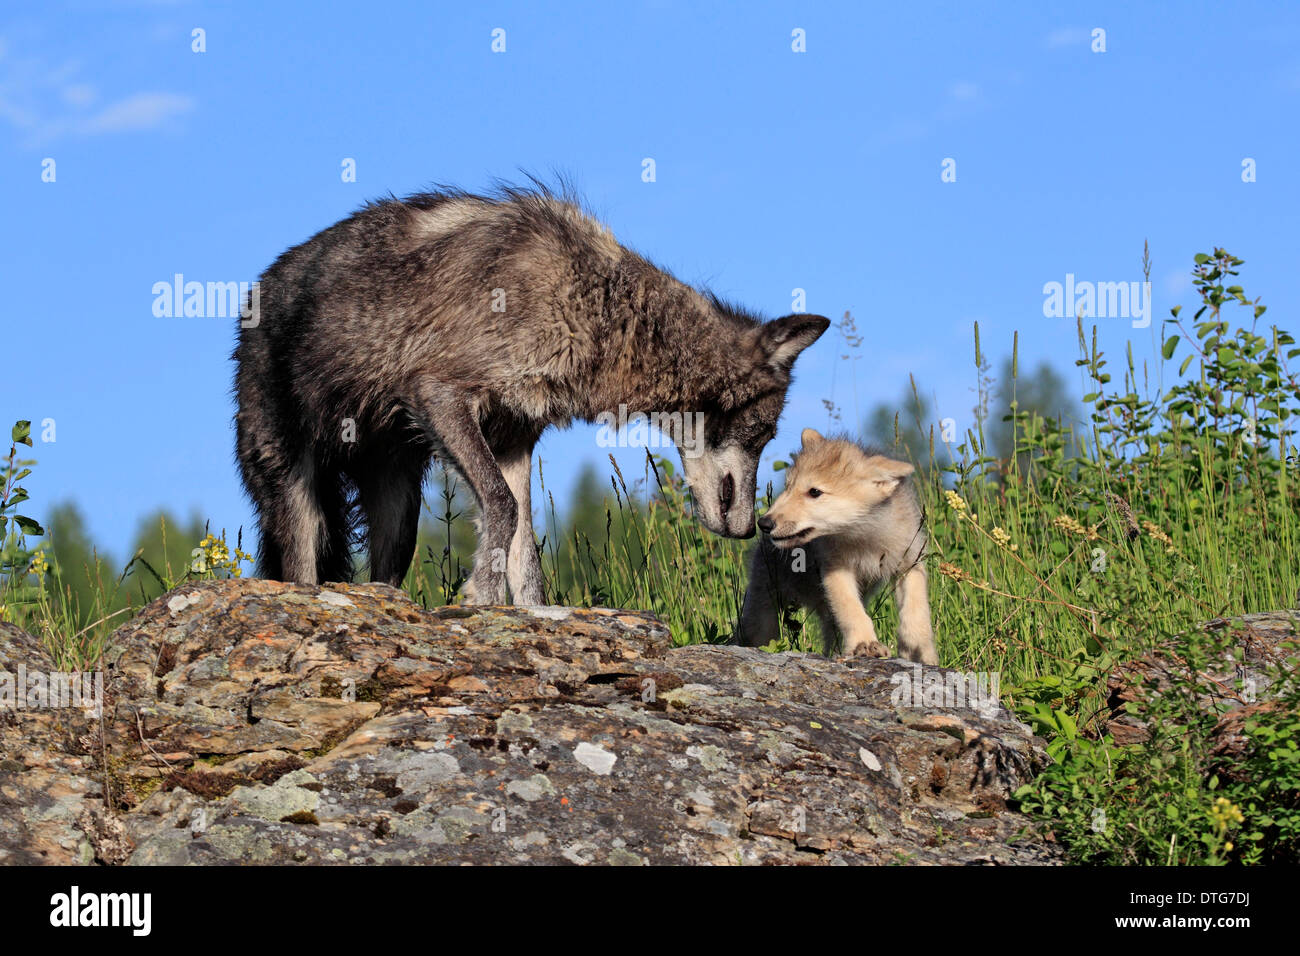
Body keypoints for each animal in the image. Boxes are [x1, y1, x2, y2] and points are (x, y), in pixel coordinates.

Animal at [232, 184, 821, 606]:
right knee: (300, 572)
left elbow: (525, 549)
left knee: (381, 575)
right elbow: (501, 505)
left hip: (400, 509)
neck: (599, 306)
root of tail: (256, 295)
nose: (749, 530)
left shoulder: (514, 440)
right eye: (764, 435)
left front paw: (531, 610)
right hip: (299, 495)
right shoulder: (440, 395)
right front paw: (482, 597)